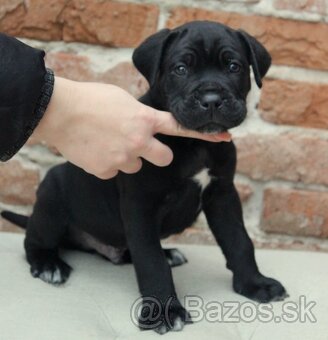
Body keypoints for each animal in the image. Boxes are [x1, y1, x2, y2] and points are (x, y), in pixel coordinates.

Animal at [1, 21, 288, 334]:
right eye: (180, 69)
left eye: (234, 66)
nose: (211, 99)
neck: (195, 143)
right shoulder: (141, 205)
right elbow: (150, 261)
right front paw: (164, 311)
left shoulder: (223, 194)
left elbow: (239, 241)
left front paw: (254, 283)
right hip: (52, 201)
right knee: (34, 240)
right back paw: (47, 264)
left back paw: (168, 253)